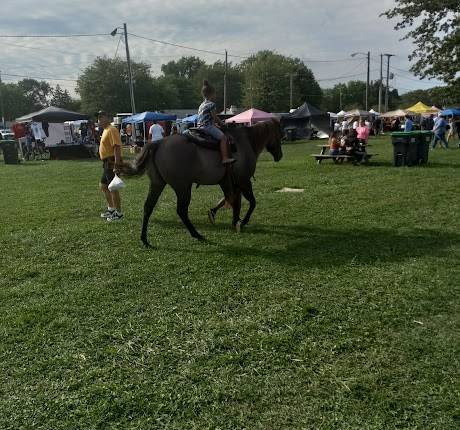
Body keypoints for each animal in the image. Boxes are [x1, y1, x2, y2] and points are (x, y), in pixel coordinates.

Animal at [124, 121, 282, 247]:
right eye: (279, 135)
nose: (280, 156)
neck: (245, 141)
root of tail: (158, 143)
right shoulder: (243, 181)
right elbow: (250, 202)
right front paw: (241, 221)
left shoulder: (227, 181)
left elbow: (230, 199)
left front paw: (220, 215)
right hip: (183, 188)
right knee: (181, 211)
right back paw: (196, 234)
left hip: (158, 184)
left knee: (148, 207)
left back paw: (144, 239)